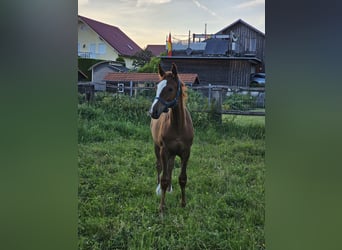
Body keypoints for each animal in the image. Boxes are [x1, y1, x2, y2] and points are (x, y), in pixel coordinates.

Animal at [149, 63, 194, 213]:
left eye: (170, 88)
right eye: (156, 87)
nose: (153, 111)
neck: (178, 126)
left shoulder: (186, 152)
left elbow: (182, 178)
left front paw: (183, 203)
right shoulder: (164, 150)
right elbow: (164, 178)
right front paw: (162, 207)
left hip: (173, 153)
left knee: (170, 167)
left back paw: (169, 189)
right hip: (157, 147)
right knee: (159, 167)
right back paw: (158, 189)